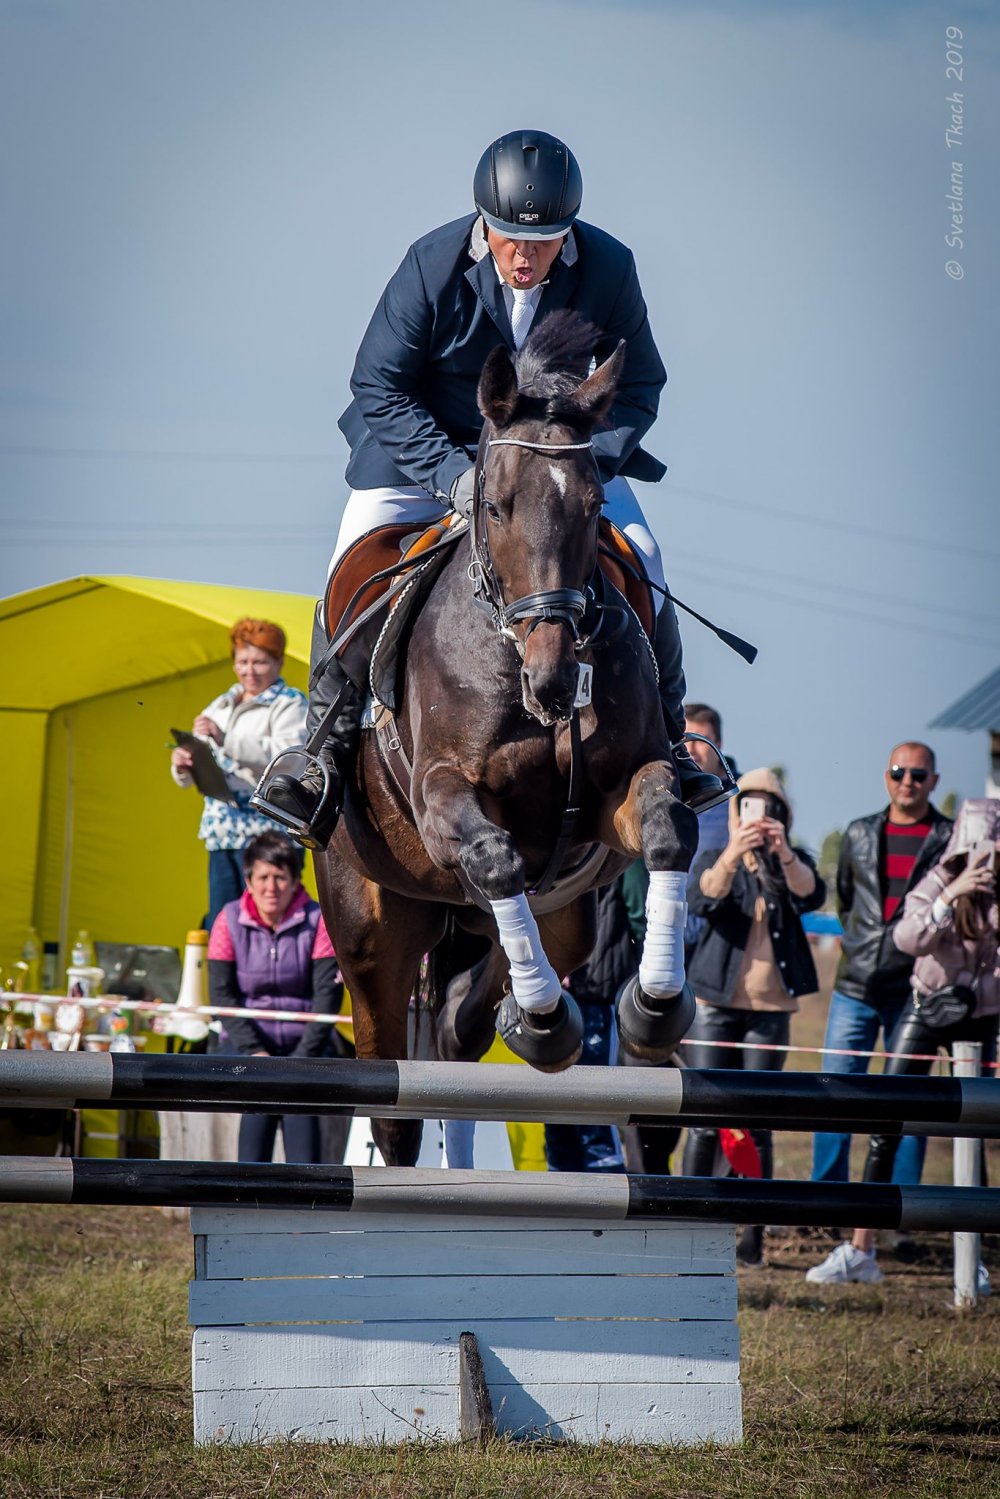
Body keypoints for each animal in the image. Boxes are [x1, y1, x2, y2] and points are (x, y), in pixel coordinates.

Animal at [315, 311, 698, 1167]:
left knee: (460, 1028)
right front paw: (553, 1019)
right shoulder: (442, 797)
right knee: (394, 1107)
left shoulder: (620, 790)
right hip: (371, 932)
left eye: (592, 503)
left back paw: (525, 1020)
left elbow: (666, 829)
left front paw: (651, 1007)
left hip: (561, 915)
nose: (554, 683)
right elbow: (493, 855)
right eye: (494, 506)